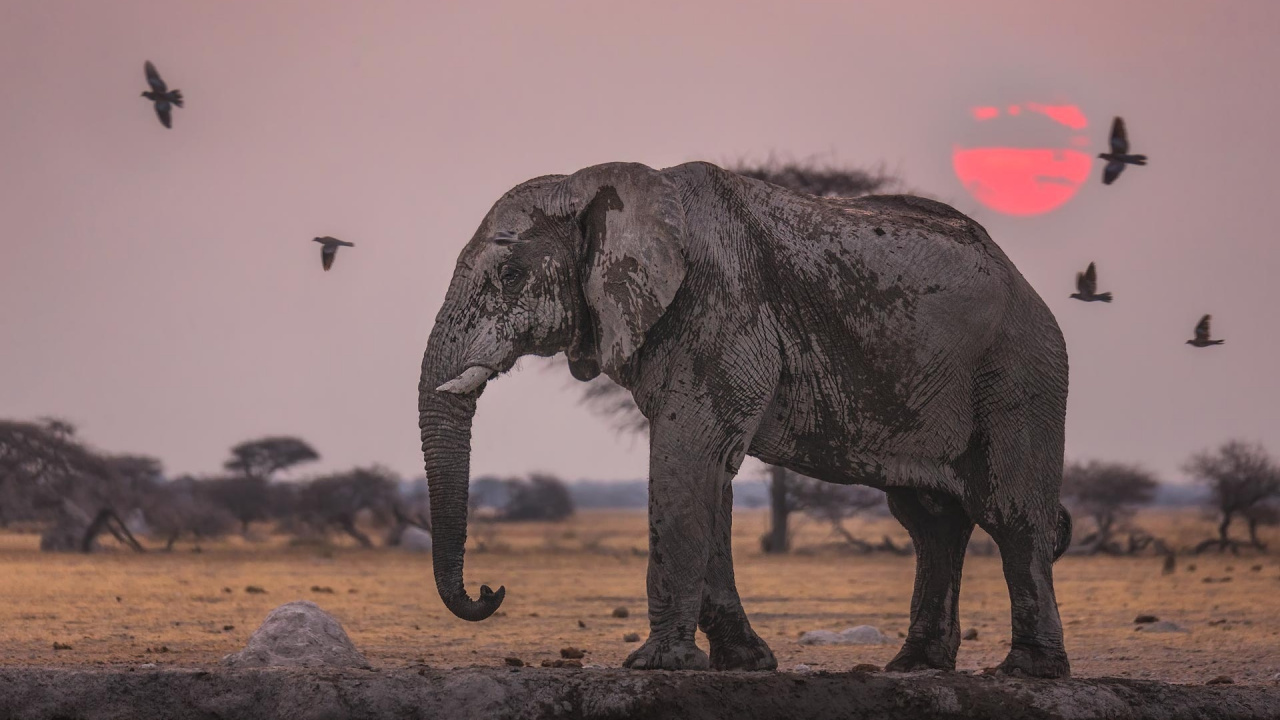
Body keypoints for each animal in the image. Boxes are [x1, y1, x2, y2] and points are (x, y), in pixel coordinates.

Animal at [418, 161, 1074, 678]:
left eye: (509, 275)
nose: (491, 590)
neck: (600, 185)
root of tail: (1024, 282)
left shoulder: (720, 306)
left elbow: (689, 457)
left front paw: (659, 666)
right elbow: (710, 475)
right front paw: (746, 663)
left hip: (1019, 372)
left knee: (1010, 515)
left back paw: (1029, 671)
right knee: (929, 520)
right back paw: (914, 667)